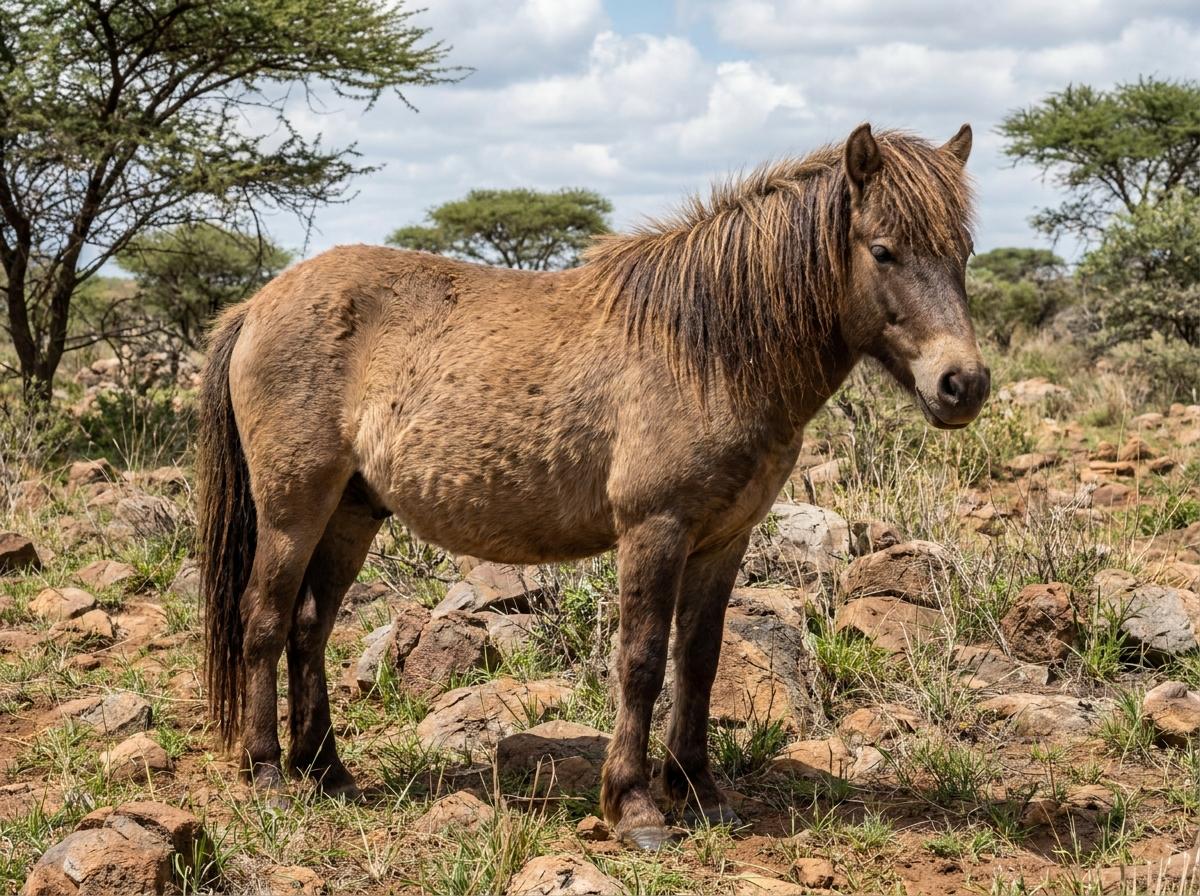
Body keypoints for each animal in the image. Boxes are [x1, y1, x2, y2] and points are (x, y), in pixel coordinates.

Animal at [197, 122, 989, 850]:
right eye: (883, 250)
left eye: (963, 254)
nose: (964, 384)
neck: (705, 350)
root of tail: (257, 305)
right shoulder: (655, 530)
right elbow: (640, 662)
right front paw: (635, 807)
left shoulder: (723, 542)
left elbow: (699, 662)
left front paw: (701, 792)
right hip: (293, 509)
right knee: (264, 621)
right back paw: (268, 773)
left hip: (353, 512)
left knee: (310, 627)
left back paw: (327, 771)